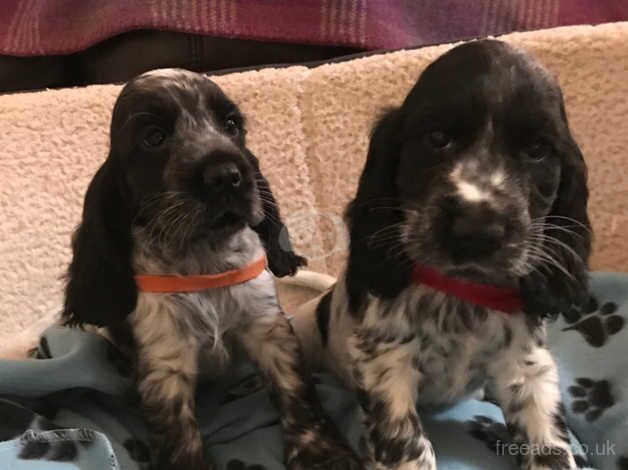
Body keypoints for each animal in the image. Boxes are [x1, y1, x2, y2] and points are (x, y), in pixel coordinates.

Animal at [63, 70, 360, 470]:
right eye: (153, 137)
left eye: (231, 125)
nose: (227, 175)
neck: (203, 261)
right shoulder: (165, 361)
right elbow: (178, 433)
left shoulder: (268, 327)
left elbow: (294, 386)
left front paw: (321, 453)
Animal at [296, 40, 592, 470]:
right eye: (438, 138)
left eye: (538, 149)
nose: (476, 230)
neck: (462, 292)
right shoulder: (386, 364)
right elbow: (407, 446)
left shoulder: (528, 367)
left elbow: (549, 445)